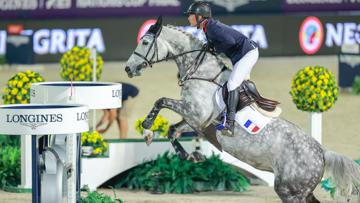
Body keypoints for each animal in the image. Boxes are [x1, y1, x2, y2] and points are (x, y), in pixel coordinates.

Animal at [124, 16, 360, 202]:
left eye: (145, 42)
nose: (128, 68)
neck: (201, 71)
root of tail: (322, 153)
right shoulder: (198, 121)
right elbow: (173, 130)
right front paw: (191, 157)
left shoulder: (195, 113)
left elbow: (161, 101)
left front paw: (147, 125)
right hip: (300, 191)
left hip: (290, 191)